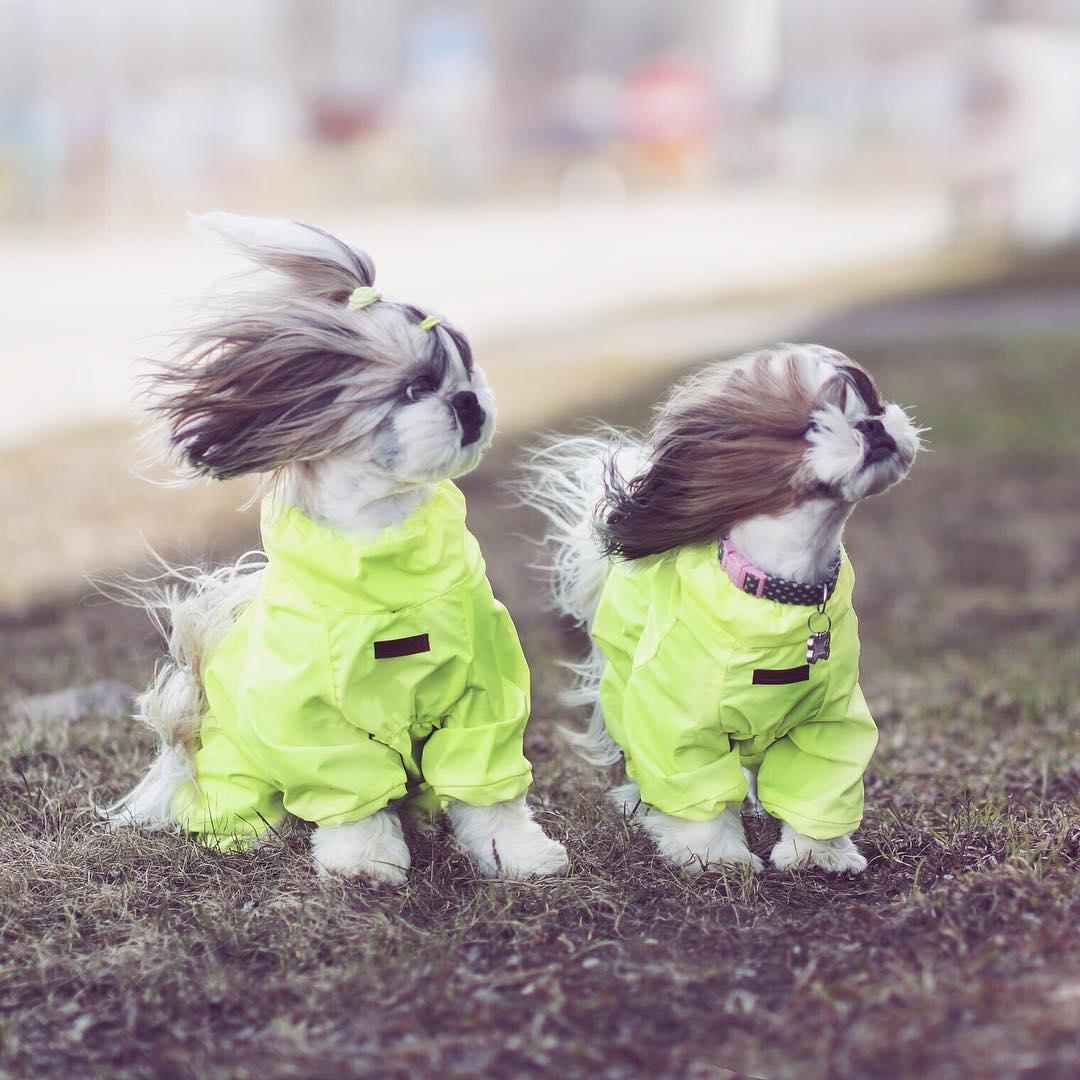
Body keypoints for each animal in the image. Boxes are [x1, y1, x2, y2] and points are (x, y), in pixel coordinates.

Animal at [105, 212, 570, 885]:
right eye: (415, 389)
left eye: (467, 369)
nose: (468, 401)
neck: (387, 568)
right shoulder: (312, 723)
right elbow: (352, 797)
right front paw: (366, 863)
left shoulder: (484, 694)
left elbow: (489, 790)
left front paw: (519, 853)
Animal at [520, 345, 920, 876]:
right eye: (811, 426)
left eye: (872, 406)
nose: (873, 424)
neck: (779, 597)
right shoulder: (675, 719)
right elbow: (694, 786)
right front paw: (716, 855)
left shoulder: (828, 720)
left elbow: (818, 783)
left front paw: (819, 854)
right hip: (623, 680)